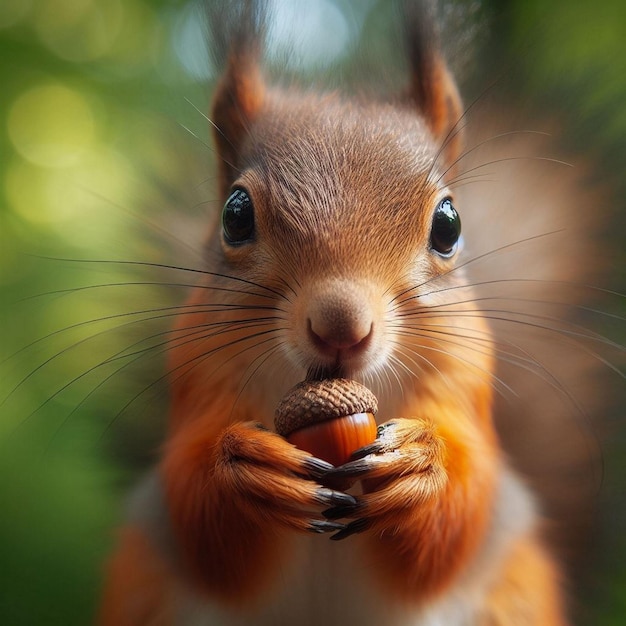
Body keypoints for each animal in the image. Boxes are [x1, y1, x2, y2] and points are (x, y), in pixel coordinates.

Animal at [96, 1, 608, 624]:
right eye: (234, 215)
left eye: (449, 224)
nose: (340, 326)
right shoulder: (197, 372)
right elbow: (197, 518)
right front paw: (244, 463)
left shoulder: (464, 376)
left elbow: (462, 515)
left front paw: (423, 465)